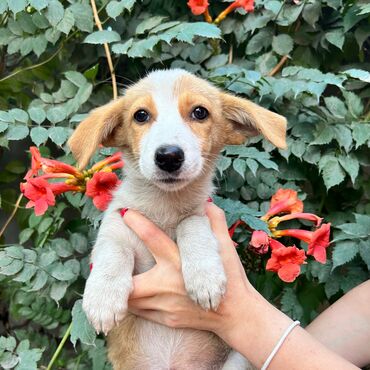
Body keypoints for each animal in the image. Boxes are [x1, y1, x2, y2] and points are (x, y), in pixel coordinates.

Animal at [68, 69, 286, 370]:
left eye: (200, 112)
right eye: (140, 115)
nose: (168, 156)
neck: (164, 208)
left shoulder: (201, 213)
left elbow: (191, 225)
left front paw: (204, 276)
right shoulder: (116, 223)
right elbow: (113, 251)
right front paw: (103, 298)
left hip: (238, 360)